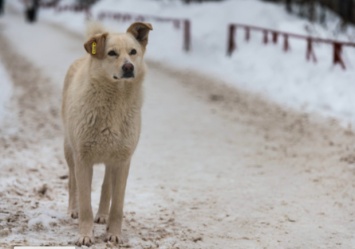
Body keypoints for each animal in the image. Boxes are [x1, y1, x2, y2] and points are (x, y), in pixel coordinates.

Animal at [61, 21, 153, 247]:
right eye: (112, 53)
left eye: (133, 52)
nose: (129, 67)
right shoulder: (83, 159)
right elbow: (86, 203)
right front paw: (85, 235)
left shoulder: (123, 160)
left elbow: (117, 205)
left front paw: (114, 233)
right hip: (69, 151)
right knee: (72, 182)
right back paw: (73, 210)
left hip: (112, 157)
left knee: (105, 186)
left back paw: (102, 215)